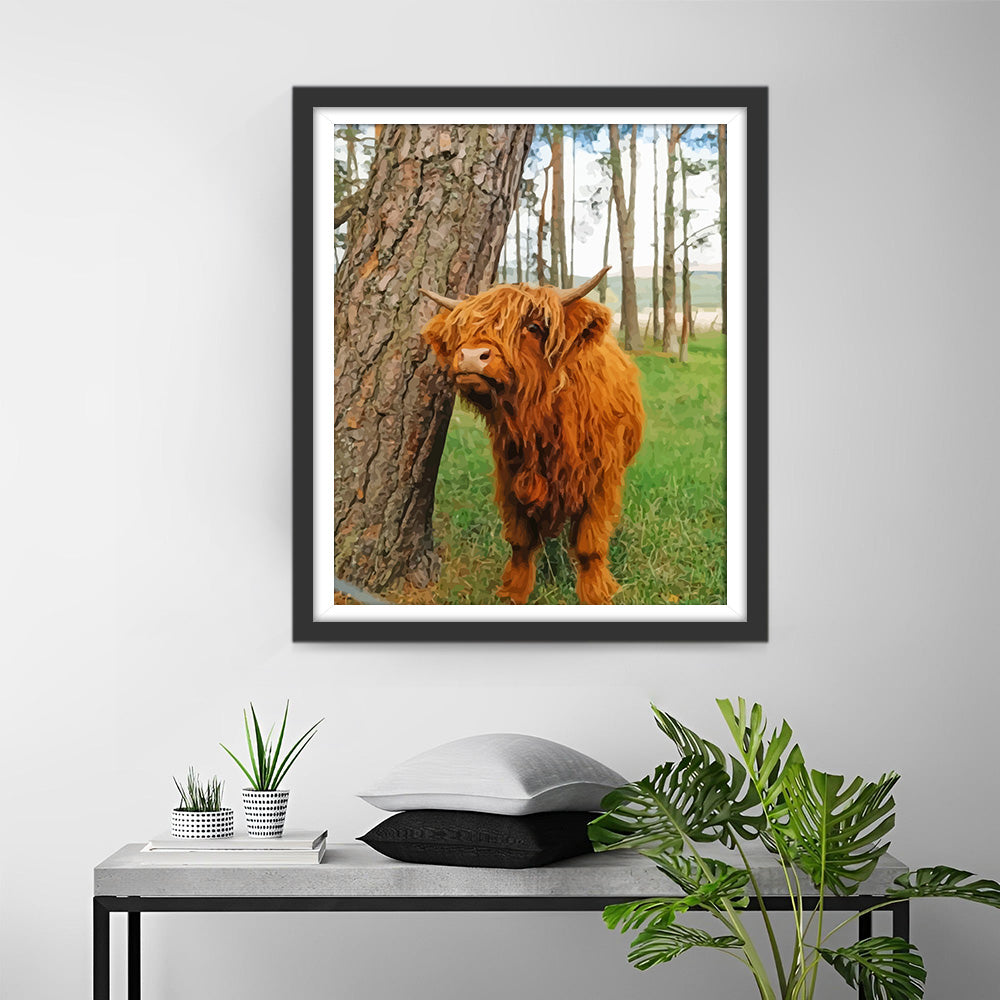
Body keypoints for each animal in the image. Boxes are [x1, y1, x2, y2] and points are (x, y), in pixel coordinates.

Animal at [420, 268, 645, 605]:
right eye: (463, 329)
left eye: (533, 327)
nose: (471, 356)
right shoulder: (510, 474)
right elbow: (521, 540)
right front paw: (513, 591)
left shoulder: (600, 481)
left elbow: (589, 544)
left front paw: (596, 594)